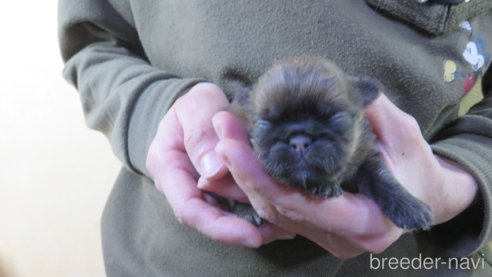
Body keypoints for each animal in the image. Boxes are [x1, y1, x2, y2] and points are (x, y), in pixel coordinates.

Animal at [213, 57, 432, 230]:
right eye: (264, 124)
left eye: (336, 118)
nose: (300, 142)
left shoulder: (366, 155)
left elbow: (382, 179)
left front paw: (409, 206)